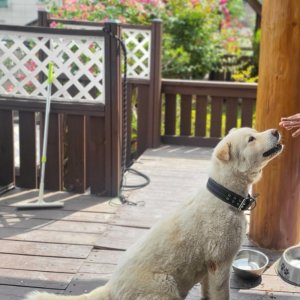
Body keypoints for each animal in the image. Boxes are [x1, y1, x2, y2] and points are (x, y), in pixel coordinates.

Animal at [24, 127, 282, 298]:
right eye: (251, 139)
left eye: (256, 132)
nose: (276, 131)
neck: (224, 195)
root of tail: (110, 287)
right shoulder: (220, 265)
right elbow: (222, 295)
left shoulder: (209, 271)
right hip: (165, 286)